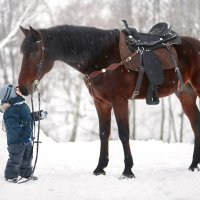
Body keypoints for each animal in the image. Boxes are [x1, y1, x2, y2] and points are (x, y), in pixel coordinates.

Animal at [17, 23, 200, 178]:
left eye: (34, 53)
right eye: (22, 53)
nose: (23, 87)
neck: (101, 58)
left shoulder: (120, 101)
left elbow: (124, 133)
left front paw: (127, 171)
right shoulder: (101, 103)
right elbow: (104, 133)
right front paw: (100, 168)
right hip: (185, 95)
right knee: (195, 124)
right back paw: (193, 165)